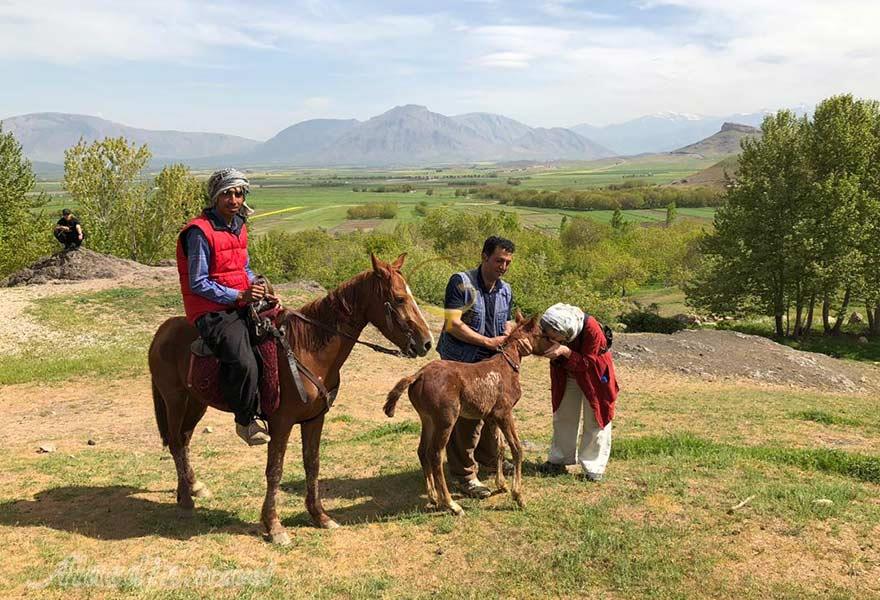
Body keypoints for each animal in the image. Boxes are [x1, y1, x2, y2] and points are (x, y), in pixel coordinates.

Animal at [150, 253, 434, 544]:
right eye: (399, 298)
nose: (426, 343)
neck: (305, 350)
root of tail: (163, 331)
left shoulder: (314, 420)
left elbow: (312, 464)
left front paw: (320, 516)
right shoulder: (282, 423)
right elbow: (275, 471)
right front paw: (274, 526)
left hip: (197, 402)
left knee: (184, 440)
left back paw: (193, 487)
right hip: (175, 400)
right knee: (175, 442)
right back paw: (186, 499)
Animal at [382, 312, 548, 512]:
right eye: (541, 334)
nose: (551, 347)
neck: (507, 366)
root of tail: (418, 375)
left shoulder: (491, 416)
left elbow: (499, 447)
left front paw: (501, 484)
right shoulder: (504, 413)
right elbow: (516, 448)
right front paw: (518, 496)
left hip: (427, 419)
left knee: (422, 451)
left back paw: (433, 497)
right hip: (446, 420)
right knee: (435, 454)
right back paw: (451, 504)